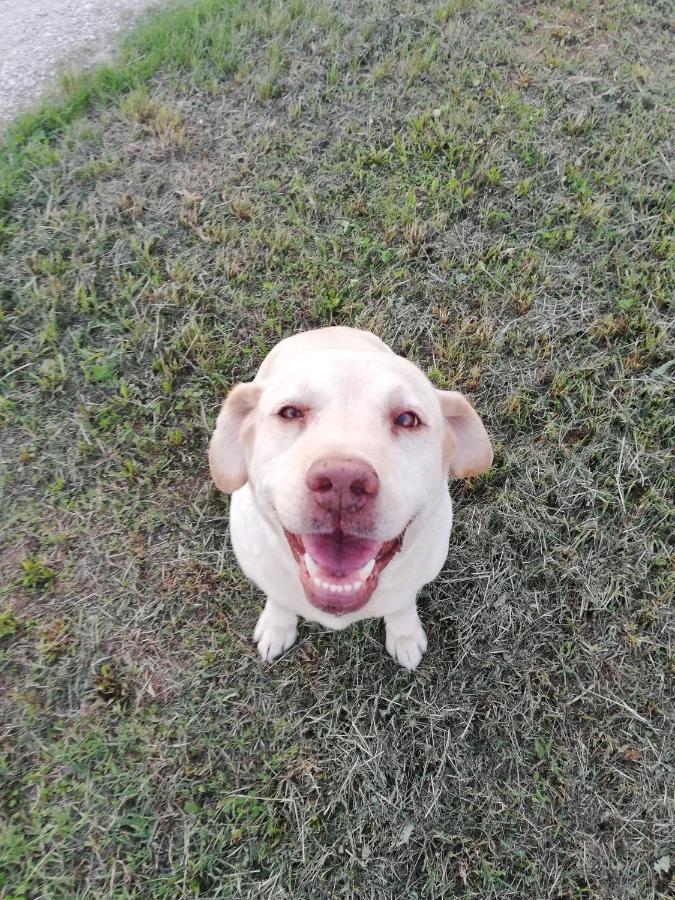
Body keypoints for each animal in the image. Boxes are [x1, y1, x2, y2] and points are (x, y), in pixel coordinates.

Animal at [209, 326, 494, 672]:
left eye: (407, 419)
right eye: (290, 412)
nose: (342, 482)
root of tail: (329, 329)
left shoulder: (412, 581)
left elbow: (401, 607)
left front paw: (405, 636)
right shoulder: (265, 574)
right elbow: (279, 599)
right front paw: (277, 627)